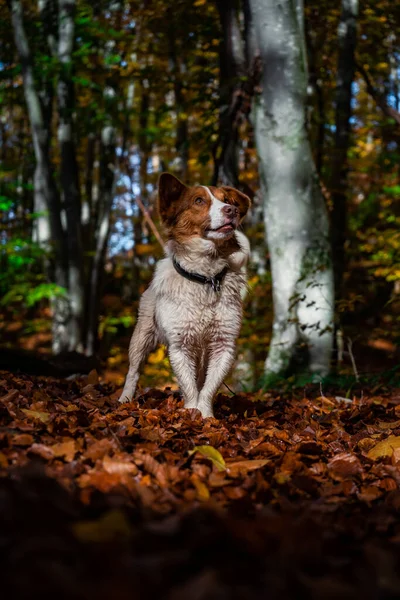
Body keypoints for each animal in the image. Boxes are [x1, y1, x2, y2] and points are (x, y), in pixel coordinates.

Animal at [118, 173, 250, 418]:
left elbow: (207, 387)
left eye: (228, 200)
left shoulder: (223, 344)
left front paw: (205, 416)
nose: (232, 210)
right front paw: (191, 413)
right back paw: (125, 399)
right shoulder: (180, 346)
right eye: (198, 201)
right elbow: (189, 387)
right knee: (133, 371)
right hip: (141, 336)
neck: (205, 277)